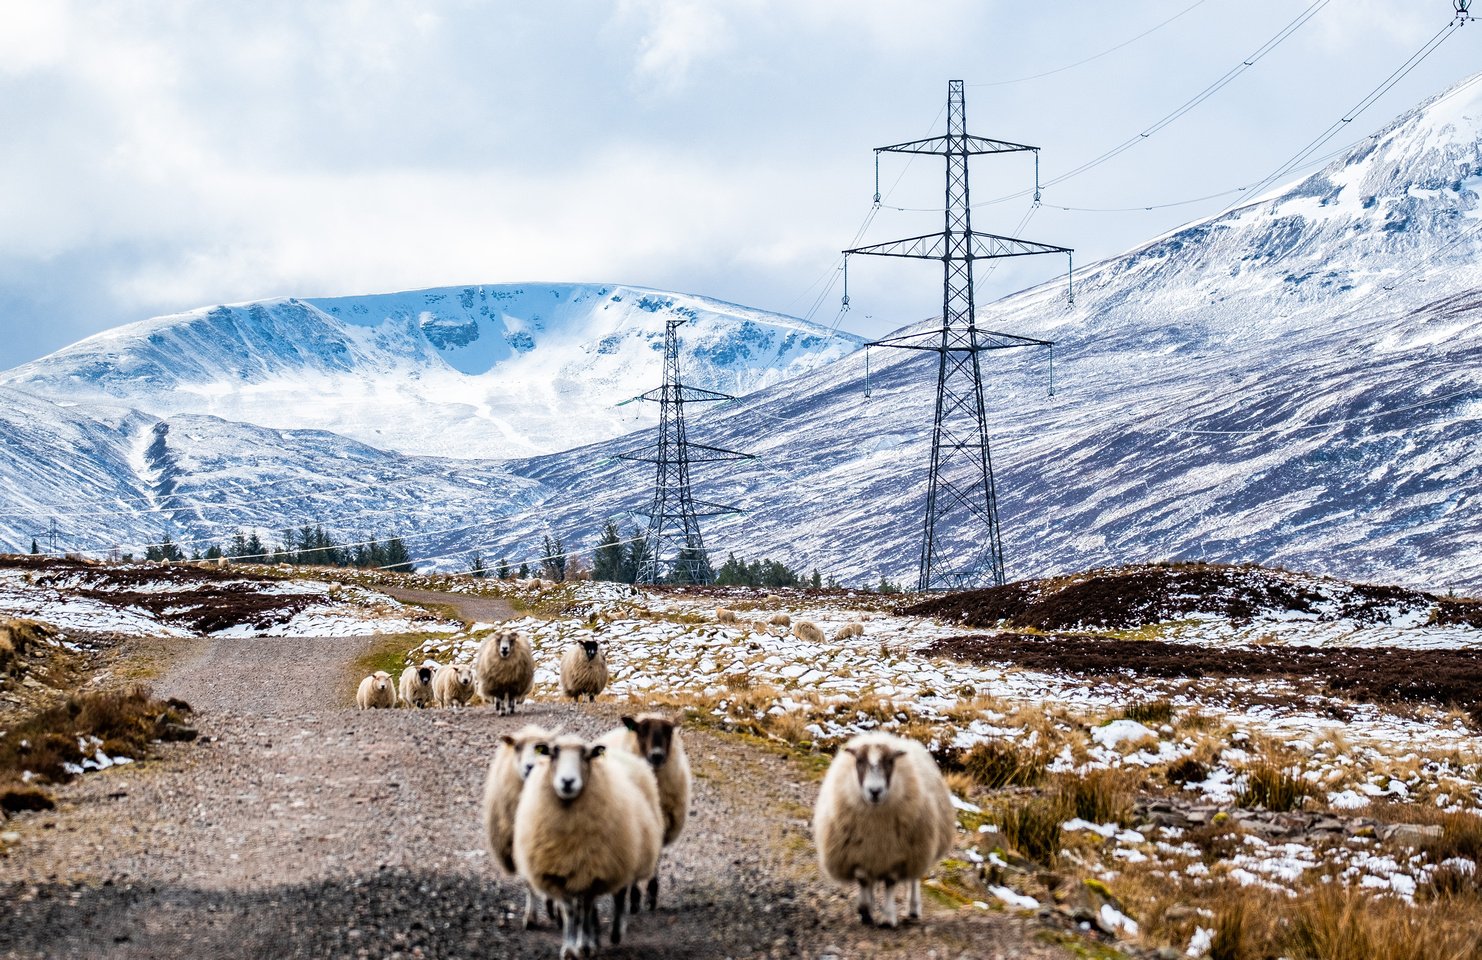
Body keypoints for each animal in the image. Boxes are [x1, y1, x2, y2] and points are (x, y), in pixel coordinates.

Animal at [518, 734, 663, 954]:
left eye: (585, 756)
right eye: (553, 753)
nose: (567, 781)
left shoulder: (594, 870)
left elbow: (586, 905)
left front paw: (585, 946)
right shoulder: (559, 872)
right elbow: (571, 909)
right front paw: (570, 948)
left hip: (622, 856)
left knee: (619, 896)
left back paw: (615, 933)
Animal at [595, 717, 693, 912]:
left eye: (669, 731)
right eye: (641, 730)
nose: (657, 755)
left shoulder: (661, 825)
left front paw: (651, 894)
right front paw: (634, 898)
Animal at [818, 731, 954, 924]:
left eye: (890, 762)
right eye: (860, 761)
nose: (875, 791)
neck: (875, 825)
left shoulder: (899, 854)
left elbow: (890, 882)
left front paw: (888, 917)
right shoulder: (858, 850)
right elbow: (863, 879)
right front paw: (865, 909)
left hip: (919, 848)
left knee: (914, 879)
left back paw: (913, 909)